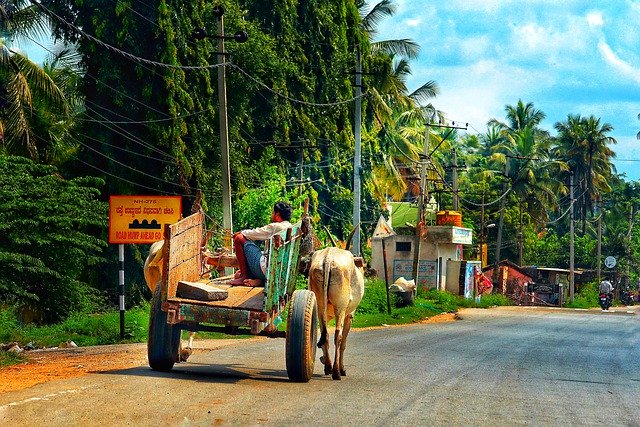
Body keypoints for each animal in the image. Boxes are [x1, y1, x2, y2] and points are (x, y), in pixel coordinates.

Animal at [310, 247, 364, 382]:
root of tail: (328, 257)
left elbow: (324, 334)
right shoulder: (349, 315)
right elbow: (343, 342)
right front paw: (343, 369)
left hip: (319, 305)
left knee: (325, 336)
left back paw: (328, 366)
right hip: (340, 307)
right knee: (337, 336)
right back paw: (336, 372)